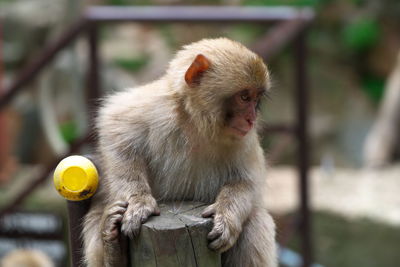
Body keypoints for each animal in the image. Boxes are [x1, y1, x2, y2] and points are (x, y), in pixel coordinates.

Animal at [83, 37, 278, 267]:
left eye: (256, 99)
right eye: (245, 97)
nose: (251, 119)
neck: (197, 123)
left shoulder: (244, 140)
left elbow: (246, 182)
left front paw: (227, 217)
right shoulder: (156, 107)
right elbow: (115, 128)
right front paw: (139, 201)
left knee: (256, 221)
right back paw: (113, 249)